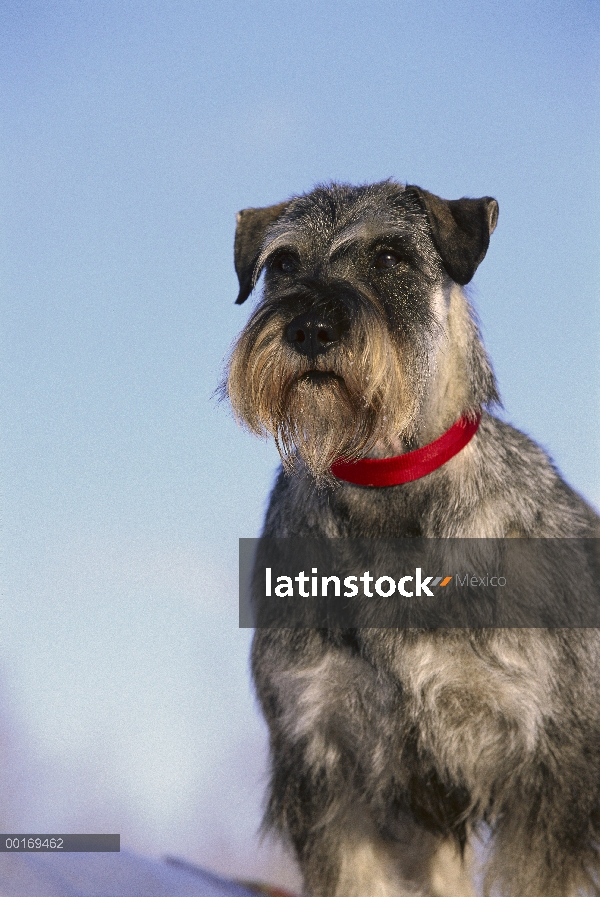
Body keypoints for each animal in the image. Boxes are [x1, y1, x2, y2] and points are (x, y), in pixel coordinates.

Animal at [221, 184, 600, 896]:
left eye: (391, 255)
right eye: (282, 264)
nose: (310, 328)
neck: (385, 496)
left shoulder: (546, 771)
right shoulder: (331, 761)